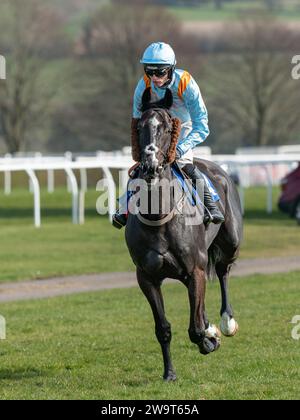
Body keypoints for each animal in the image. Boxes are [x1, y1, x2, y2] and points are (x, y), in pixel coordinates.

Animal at [124, 88, 244, 380]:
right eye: (139, 127)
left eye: (167, 127)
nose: (150, 166)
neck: (159, 218)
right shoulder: (146, 277)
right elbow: (163, 329)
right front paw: (169, 373)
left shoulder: (195, 270)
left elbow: (195, 329)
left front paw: (210, 340)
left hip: (231, 243)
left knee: (223, 270)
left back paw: (226, 322)